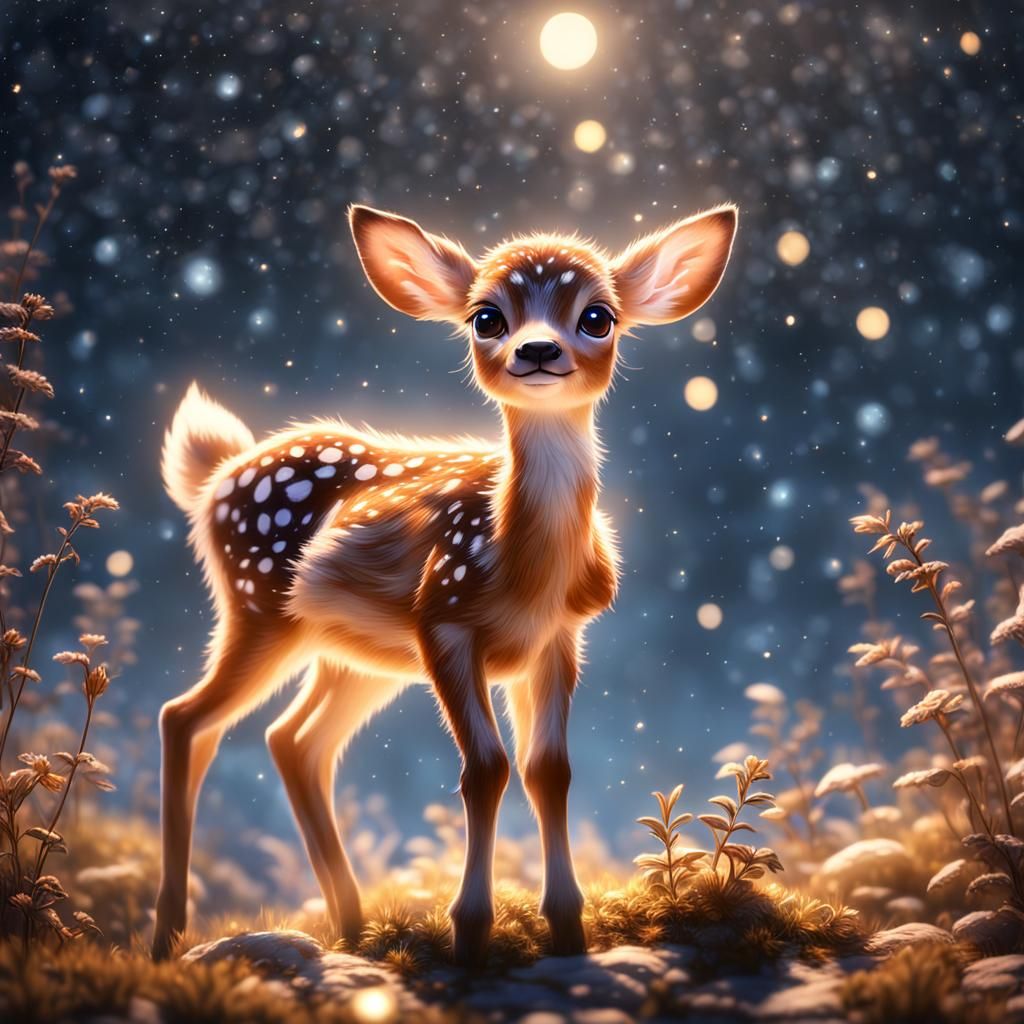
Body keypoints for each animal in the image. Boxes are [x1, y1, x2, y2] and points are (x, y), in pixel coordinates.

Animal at [153, 202, 737, 965]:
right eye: (486, 317)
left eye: (598, 316)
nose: (538, 350)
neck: (527, 571)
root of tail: (218, 473)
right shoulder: (443, 621)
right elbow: (484, 768)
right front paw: (470, 934)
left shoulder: (558, 639)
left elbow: (549, 769)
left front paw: (569, 932)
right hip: (261, 611)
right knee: (185, 717)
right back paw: (166, 936)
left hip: (359, 657)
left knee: (294, 739)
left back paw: (352, 928)